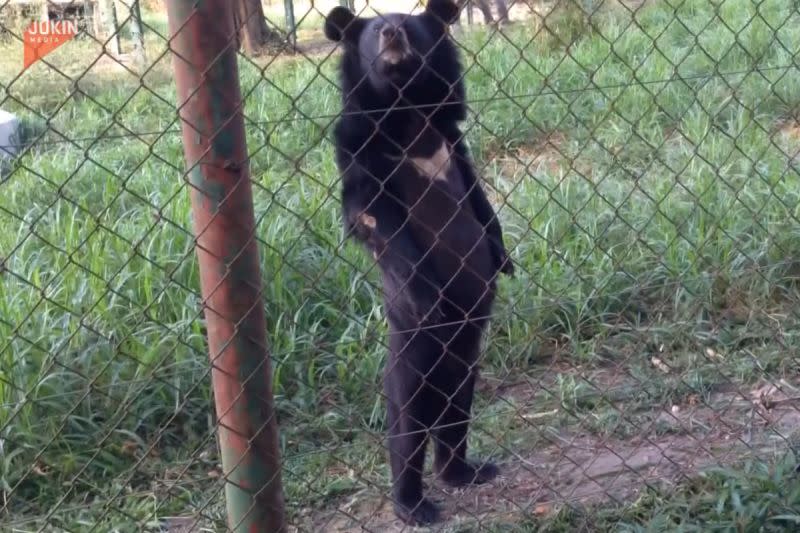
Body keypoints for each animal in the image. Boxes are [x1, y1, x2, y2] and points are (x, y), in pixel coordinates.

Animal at [324, 0, 512, 524]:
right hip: (413, 342)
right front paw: (428, 289)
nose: (392, 32)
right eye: (373, 33)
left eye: (410, 26)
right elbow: (375, 219)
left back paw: (464, 471)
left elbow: (479, 200)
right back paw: (414, 505)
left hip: (467, 347)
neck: (406, 110)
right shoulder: (362, 154)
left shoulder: (454, 143)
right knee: (406, 411)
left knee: (458, 397)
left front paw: (504, 258)